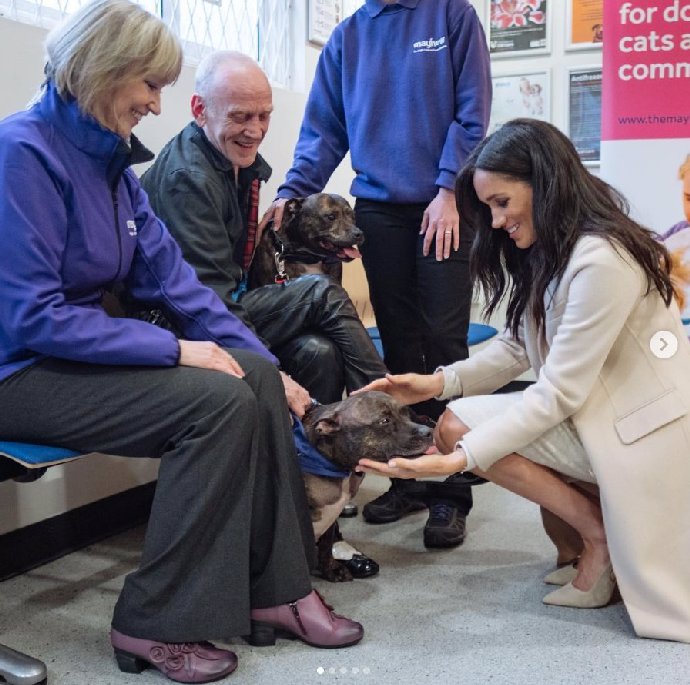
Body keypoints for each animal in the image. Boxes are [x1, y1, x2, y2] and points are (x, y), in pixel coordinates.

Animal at [297, 391, 434, 582]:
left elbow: (326, 546)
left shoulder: (332, 516)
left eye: (406, 413)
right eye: (384, 421)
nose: (428, 432)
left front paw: (331, 569)